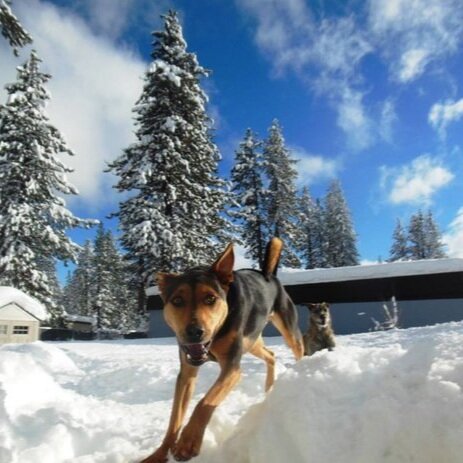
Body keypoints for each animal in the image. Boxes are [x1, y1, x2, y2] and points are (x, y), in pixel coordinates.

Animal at [143, 237, 306, 462]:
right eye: (177, 301)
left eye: (210, 298)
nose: (194, 332)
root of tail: (269, 275)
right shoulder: (186, 372)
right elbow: (174, 418)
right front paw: (159, 454)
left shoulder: (232, 368)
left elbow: (204, 402)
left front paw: (188, 442)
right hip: (252, 341)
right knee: (271, 355)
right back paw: (269, 386)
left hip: (288, 329)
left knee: (299, 350)